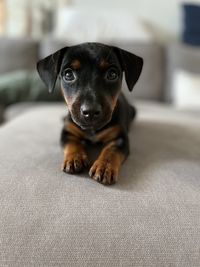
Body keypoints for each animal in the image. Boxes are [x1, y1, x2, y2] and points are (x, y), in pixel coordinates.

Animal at [36, 43, 143, 185]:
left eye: (112, 74)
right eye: (68, 74)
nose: (90, 111)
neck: (92, 129)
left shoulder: (120, 138)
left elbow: (111, 151)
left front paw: (104, 167)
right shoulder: (68, 131)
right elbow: (72, 142)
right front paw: (74, 158)